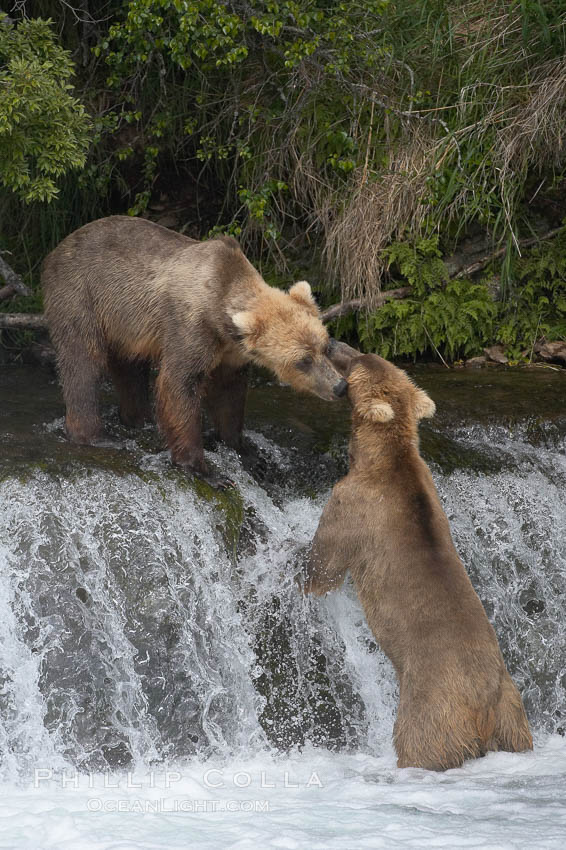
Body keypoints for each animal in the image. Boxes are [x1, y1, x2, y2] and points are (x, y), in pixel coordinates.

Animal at [42, 215, 348, 486]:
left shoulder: (231, 352)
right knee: (83, 362)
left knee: (130, 368)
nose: (340, 386)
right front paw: (207, 470)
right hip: (83, 295)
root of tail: (55, 250)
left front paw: (247, 452)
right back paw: (96, 436)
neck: (221, 312)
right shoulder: (191, 328)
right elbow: (178, 384)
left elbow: (229, 394)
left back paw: (137, 419)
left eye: (325, 346)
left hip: (124, 324)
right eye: (302, 361)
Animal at [306, 352, 532, 768]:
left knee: (418, 741)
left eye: (354, 362)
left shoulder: (353, 505)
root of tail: (483, 708)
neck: (378, 457)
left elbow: (324, 566)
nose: (335, 343)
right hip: (513, 712)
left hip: (431, 706)